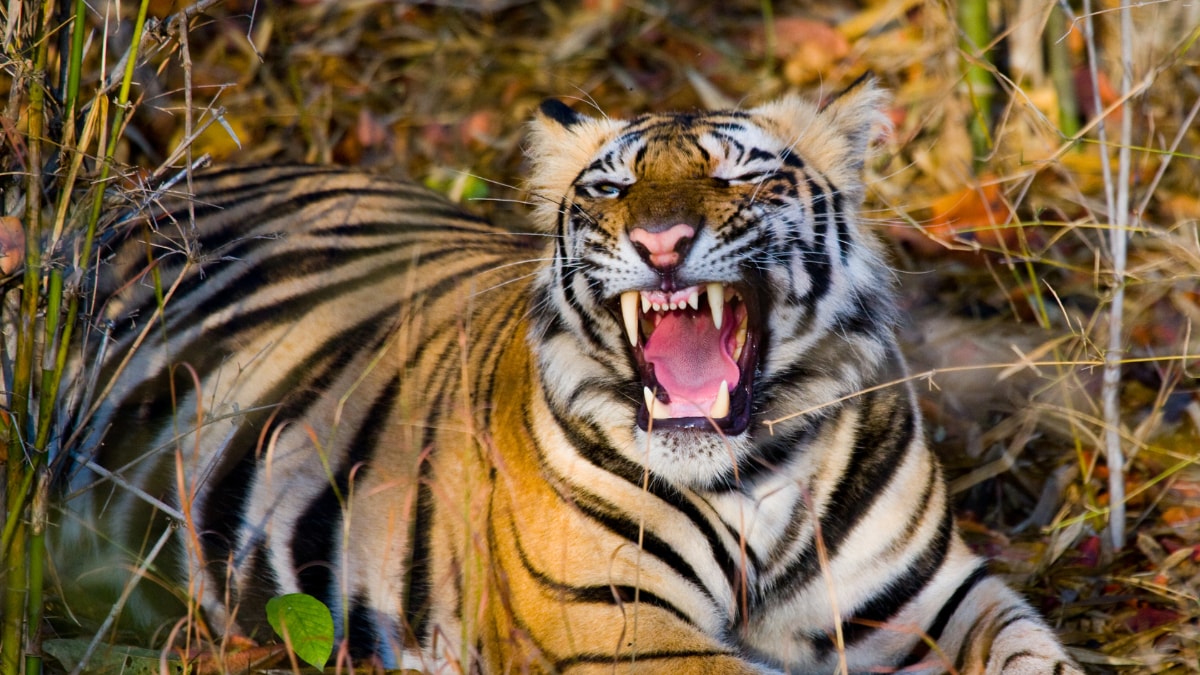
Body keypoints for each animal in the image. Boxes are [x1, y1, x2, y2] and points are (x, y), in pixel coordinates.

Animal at [50, 78, 1082, 673]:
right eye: (612, 188)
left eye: (742, 176)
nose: (661, 242)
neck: (754, 472)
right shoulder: (620, 630)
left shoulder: (936, 597)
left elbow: (1036, 652)